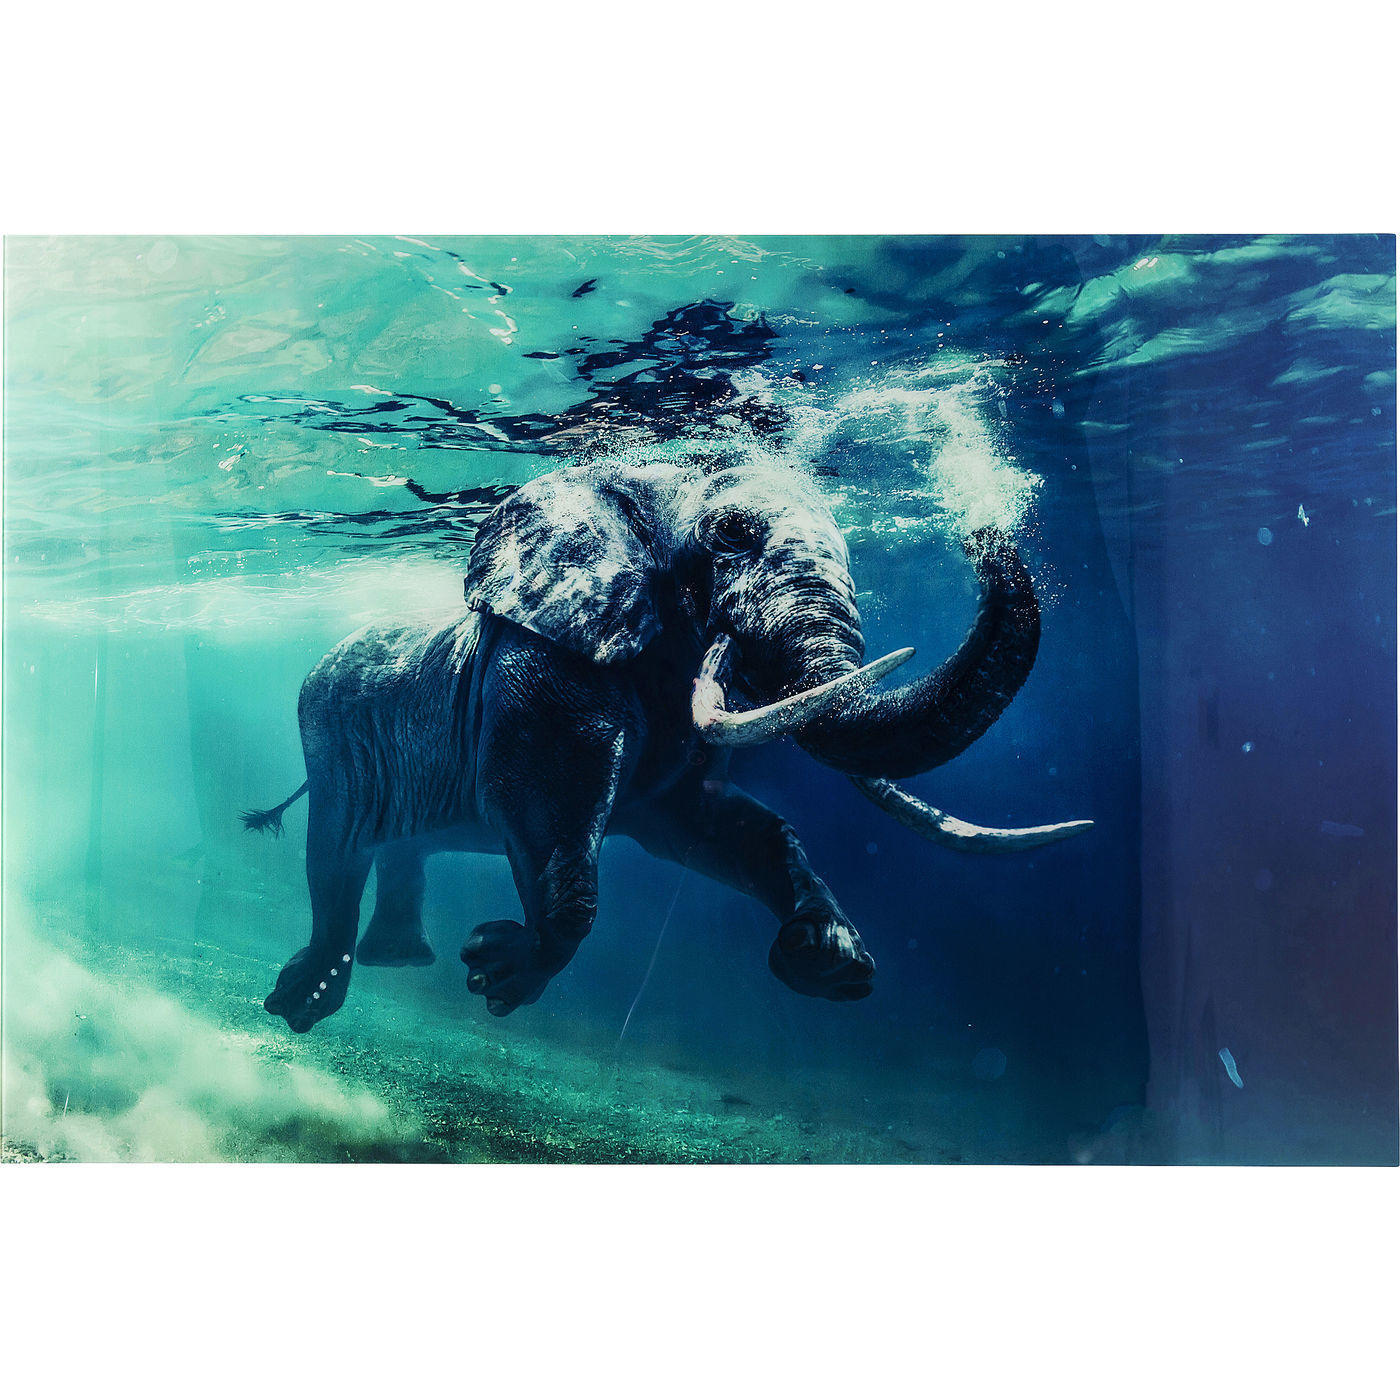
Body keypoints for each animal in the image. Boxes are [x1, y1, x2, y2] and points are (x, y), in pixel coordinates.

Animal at [247, 457, 1091, 1033]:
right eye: (731, 536)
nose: (982, 530)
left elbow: (721, 825)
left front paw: (828, 961)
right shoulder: (544, 666)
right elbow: (540, 808)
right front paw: (498, 972)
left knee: (397, 849)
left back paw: (397, 963)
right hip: (328, 734)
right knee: (335, 855)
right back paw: (303, 1004)